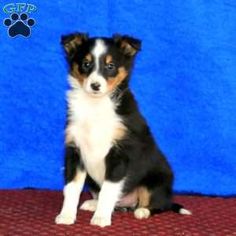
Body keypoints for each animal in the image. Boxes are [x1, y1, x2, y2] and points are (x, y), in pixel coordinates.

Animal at [55, 32, 190, 227]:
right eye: (86, 64)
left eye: (110, 66)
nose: (95, 86)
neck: (95, 105)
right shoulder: (74, 149)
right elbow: (71, 188)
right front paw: (66, 216)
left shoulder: (120, 153)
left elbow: (108, 189)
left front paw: (101, 218)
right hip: (93, 182)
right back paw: (93, 204)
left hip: (155, 181)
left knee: (159, 203)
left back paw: (143, 211)